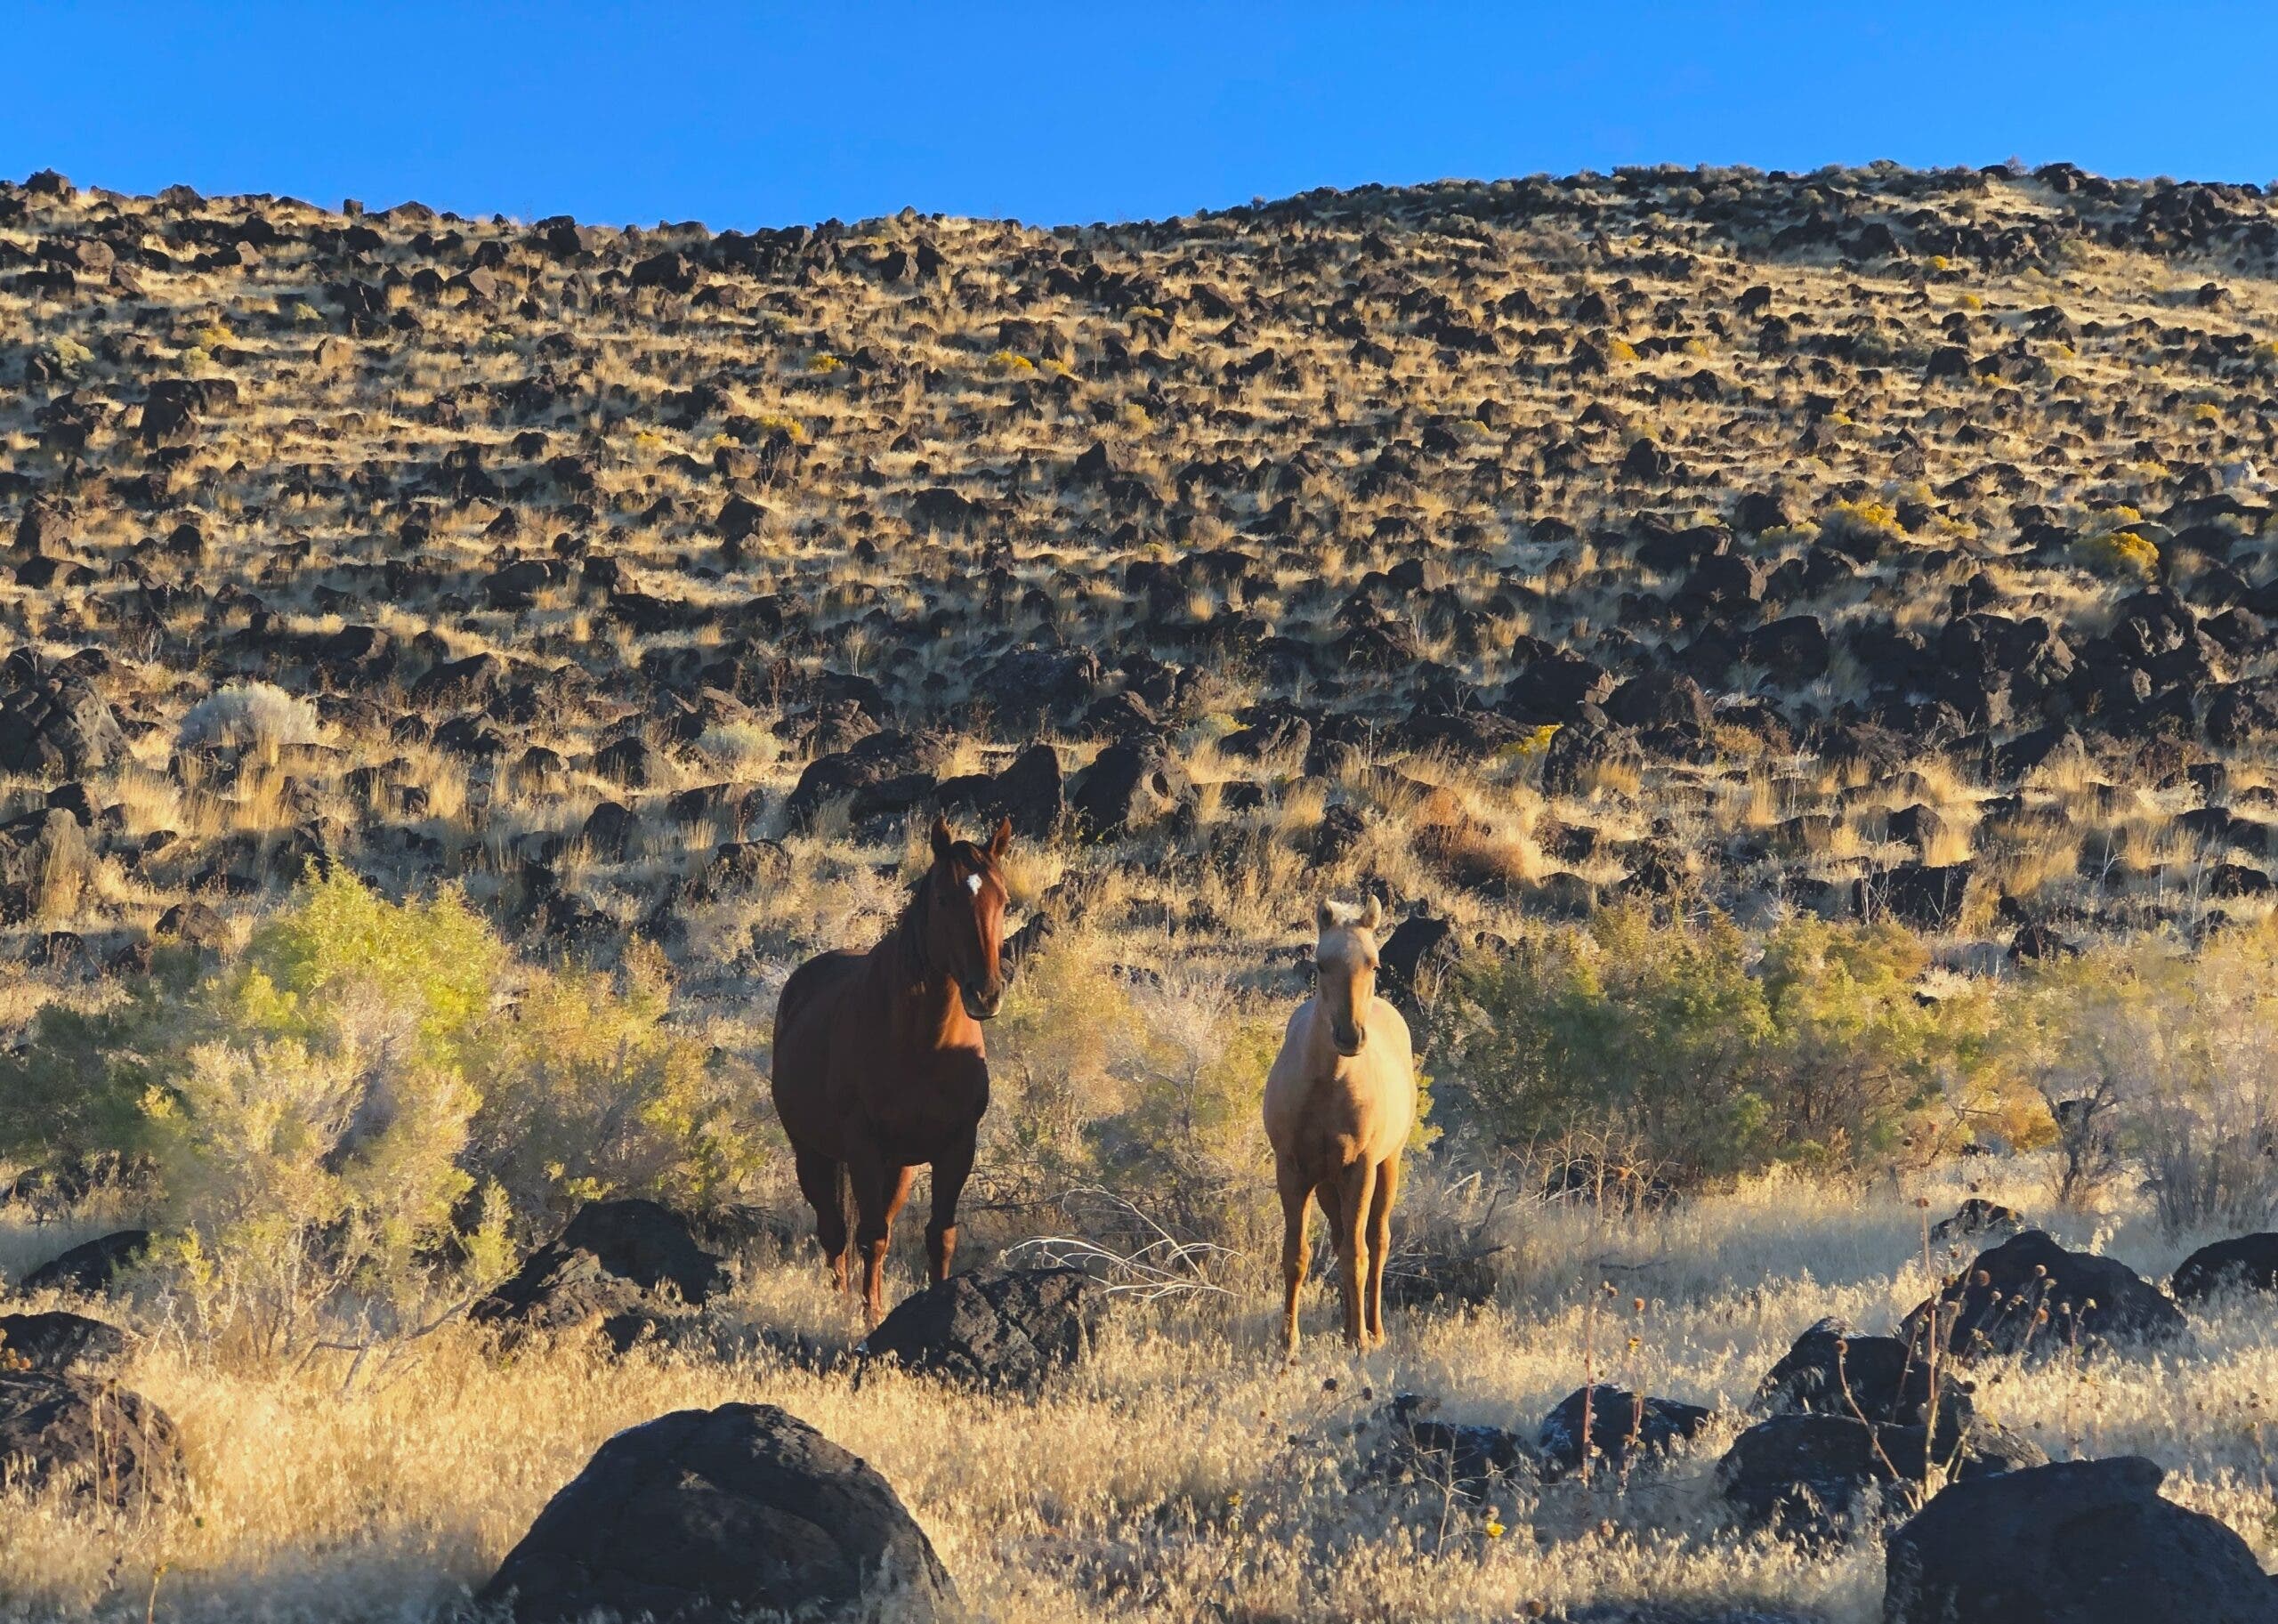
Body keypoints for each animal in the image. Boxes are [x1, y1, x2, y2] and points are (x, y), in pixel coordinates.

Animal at [771, 813, 1012, 1324]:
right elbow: (871, 1236)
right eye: (943, 899)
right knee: (835, 1232)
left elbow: (940, 1235)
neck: (924, 1045)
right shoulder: (863, 1147)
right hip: (812, 1153)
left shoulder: (957, 1146)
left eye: (1003, 900)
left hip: (899, 1167)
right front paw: (869, 1315)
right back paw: (843, 1302)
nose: (986, 993)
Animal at [1262, 896, 1416, 1355]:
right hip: (1328, 1185)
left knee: (1376, 1242)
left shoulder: (1359, 1170)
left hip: (1387, 1166)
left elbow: (1357, 1254)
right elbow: (1296, 1255)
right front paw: (1289, 1342)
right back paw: (1348, 1325)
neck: (1328, 1084)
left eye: (1375, 964)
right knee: (1340, 1236)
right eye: (1320, 964)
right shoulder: (1293, 1171)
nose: (1349, 1036)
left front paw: (1361, 1340)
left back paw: (1372, 1329)